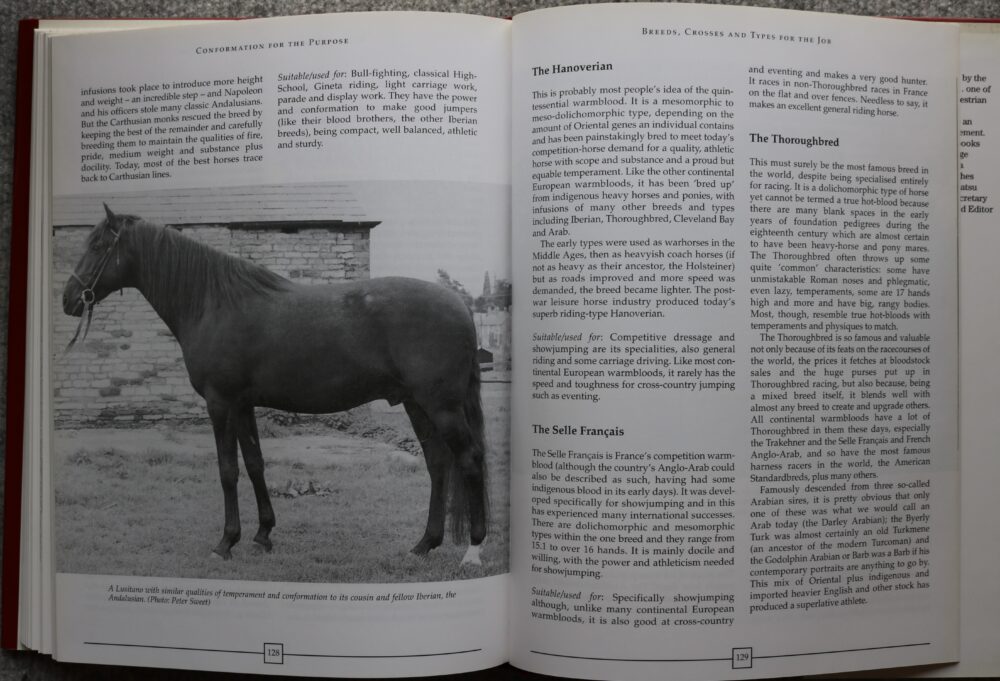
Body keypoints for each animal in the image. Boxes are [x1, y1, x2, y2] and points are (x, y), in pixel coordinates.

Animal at [61, 205, 489, 566]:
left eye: (97, 246)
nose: (69, 298)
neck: (212, 304)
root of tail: (461, 307)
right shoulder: (243, 404)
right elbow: (255, 464)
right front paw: (263, 534)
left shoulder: (220, 403)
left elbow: (227, 470)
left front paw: (225, 542)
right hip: (417, 404)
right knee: (437, 463)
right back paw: (424, 544)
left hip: (442, 406)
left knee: (468, 460)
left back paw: (473, 550)